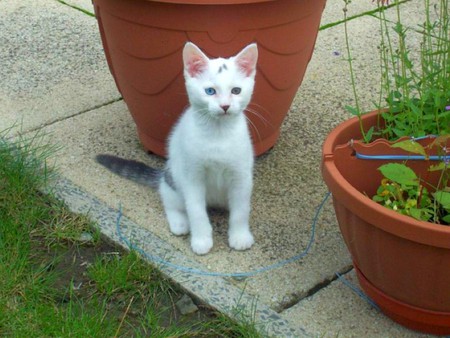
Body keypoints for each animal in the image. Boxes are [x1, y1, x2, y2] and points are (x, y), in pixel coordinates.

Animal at [96, 41, 258, 254]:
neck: (218, 134)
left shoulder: (241, 176)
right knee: (169, 198)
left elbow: (240, 210)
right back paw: (179, 222)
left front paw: (239, 236)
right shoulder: (192, 177)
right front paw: (201, 240)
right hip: (174, 176)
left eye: (236, 91)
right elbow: (196, 211)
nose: (225, 106)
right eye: (210, 91)